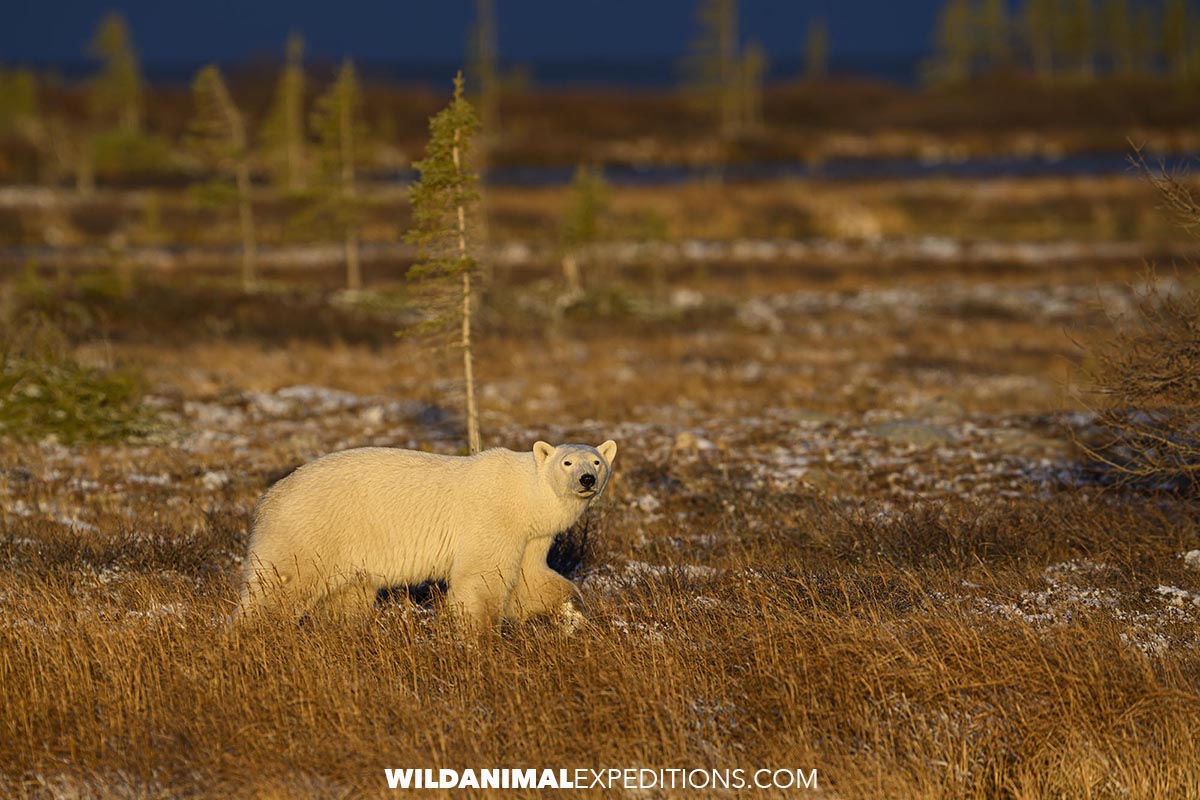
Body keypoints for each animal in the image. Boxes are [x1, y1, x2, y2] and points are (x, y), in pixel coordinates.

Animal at [236, 439, 617, 632]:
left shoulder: (528, 537)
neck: (524, 495)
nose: (586, 479)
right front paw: (480, 636)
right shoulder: (493, 519)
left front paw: (574, 611)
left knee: (348, 598)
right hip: (311, 530)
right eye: (568, 463)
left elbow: (531, 580)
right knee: (280, 585)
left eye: (597, 462)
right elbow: (480, 579)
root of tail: (269, 497)